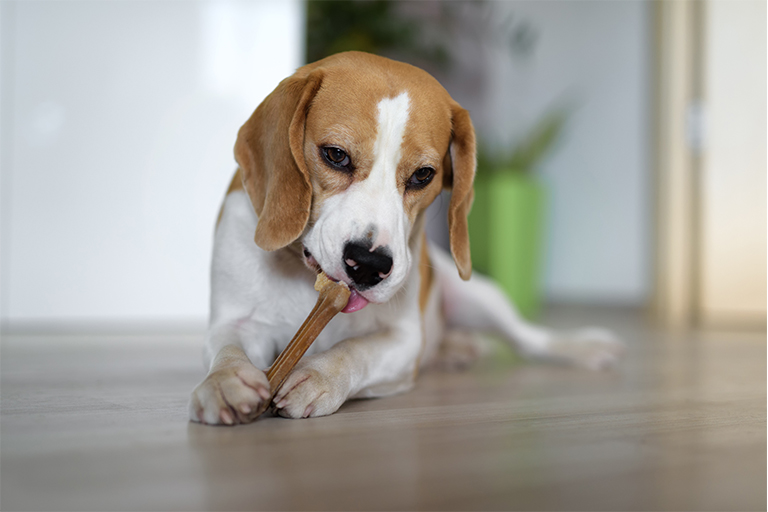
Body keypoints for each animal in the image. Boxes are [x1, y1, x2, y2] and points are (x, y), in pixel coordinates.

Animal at [188, 52, 624, 426]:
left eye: (422, 175)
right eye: (335, 155)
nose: (368, 264)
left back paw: (577, 347)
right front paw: (225, 381)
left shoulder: (404, 340)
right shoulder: (236, 321)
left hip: (479, 294)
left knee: (527, 338)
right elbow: (227, 350)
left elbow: (355, 350)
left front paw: (321, 375)